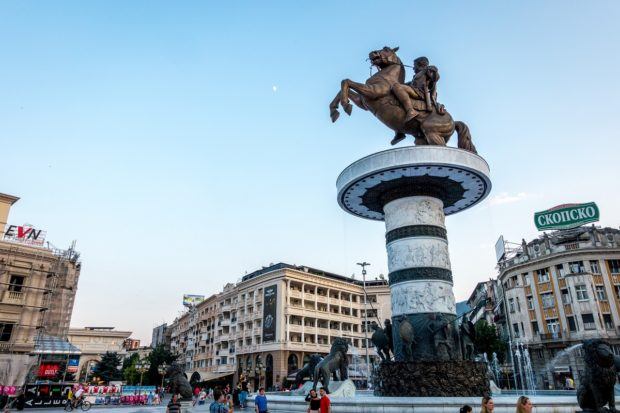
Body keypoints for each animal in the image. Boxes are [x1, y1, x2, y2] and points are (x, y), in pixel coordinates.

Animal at [332, 46, 478, 153]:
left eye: (386, 49)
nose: (372, 53)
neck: (387, 78)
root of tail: (453, 121)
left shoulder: (373, 92)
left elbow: (347, 81)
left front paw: (345, 105)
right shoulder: (363, 102)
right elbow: (344, 88)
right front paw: (334, 111)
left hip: (432, 133)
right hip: (421, 139)